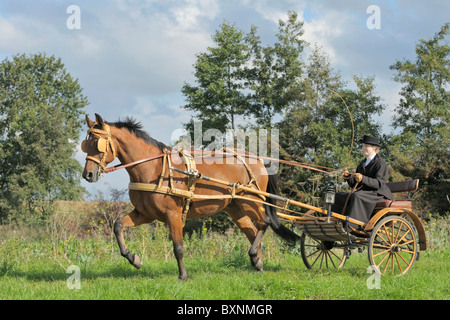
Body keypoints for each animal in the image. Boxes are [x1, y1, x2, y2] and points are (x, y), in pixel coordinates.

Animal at [81, 114, 298, 278]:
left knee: (264, 222)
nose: (87, 174)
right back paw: (257, 263)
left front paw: (183, 276)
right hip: (236, 208)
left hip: (250, 202)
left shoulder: (173, 214)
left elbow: (178, 247)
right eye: (86, 144)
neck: (153, 168)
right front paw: (134, 258)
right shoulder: (145, 214)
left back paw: (254, 256)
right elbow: (118, 225)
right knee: (253, 231)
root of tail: (258, 159)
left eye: (98, 143)